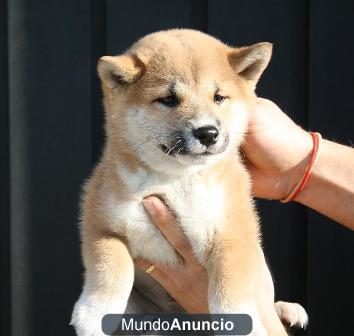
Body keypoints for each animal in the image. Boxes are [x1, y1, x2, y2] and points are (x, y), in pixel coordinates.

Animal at [70, 29, 306, 336]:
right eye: (168, 99)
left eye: (219, 97)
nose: (208, 132)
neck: (177, 179)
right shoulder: (101, 223)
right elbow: (109, 266)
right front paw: (94, 312)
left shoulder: (233, 230)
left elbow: (228, 285)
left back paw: (286, 310)